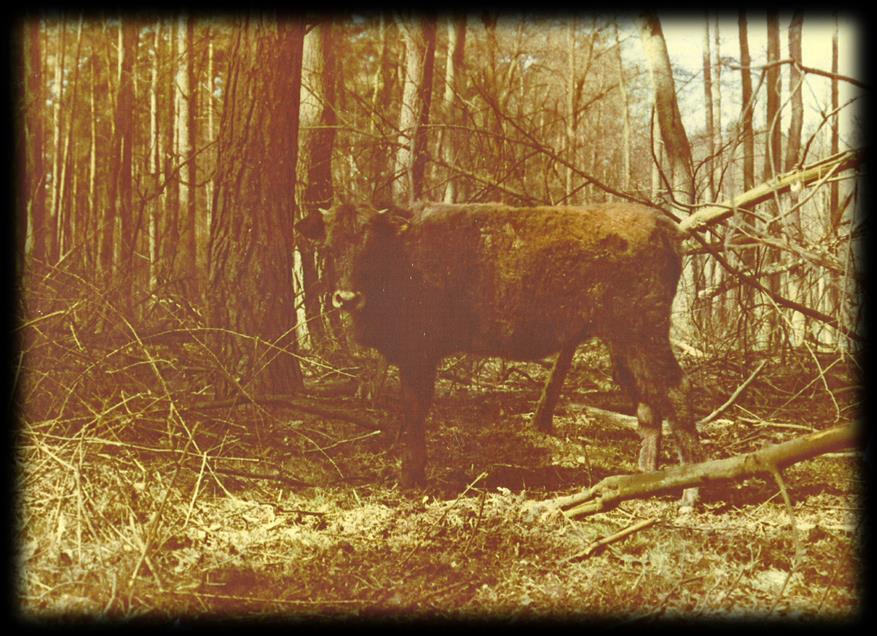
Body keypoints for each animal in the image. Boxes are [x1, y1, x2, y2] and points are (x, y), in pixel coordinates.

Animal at [300, 201, 704, 504]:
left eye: (370, 248)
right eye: (329, 247)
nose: (346, 298)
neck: (402, 254)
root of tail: (666, 227)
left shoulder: (419, 357)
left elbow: (414, 412)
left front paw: (410, 476)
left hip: (641, 336)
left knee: (676, 391)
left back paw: (690, 492)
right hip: (623, 343)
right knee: (647, 405)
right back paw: (644, 478)